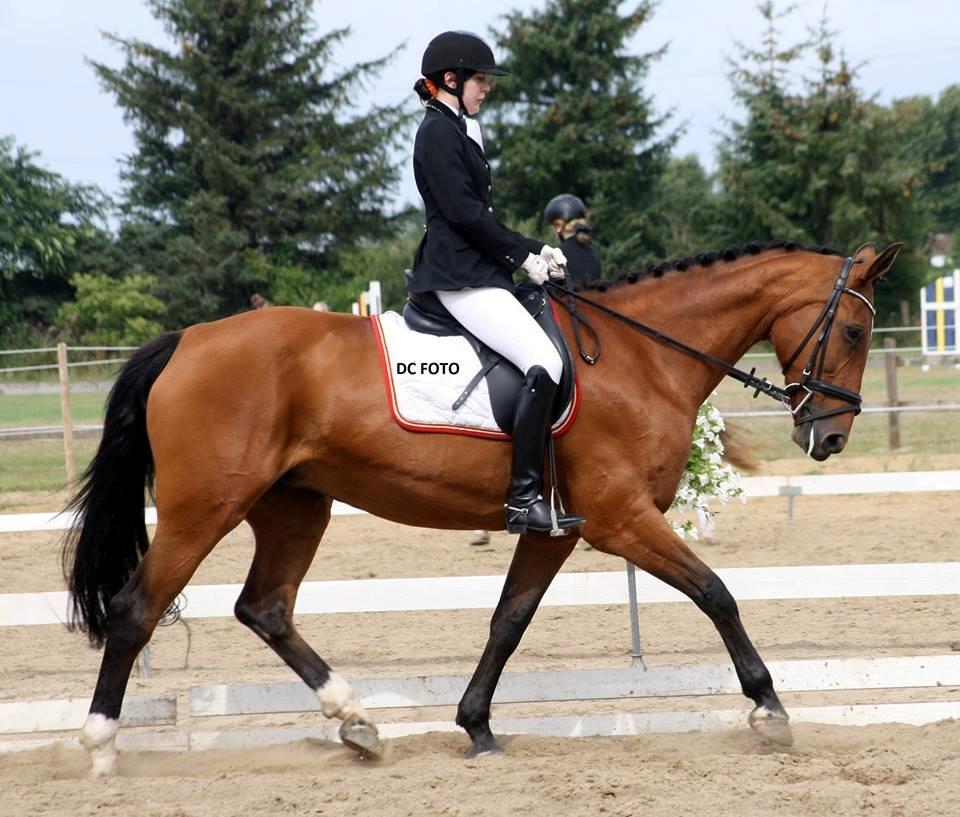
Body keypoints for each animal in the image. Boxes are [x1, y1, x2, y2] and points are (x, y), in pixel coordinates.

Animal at [62, 241, 900, 772]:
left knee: (265, 606)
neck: (643, 356)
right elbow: (715, 591)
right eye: (856, 328)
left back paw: (356, 720)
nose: (829, 437)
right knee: (137, 607)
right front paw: (769, 709)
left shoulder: (558, 528)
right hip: (204, 506)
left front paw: (477, 726)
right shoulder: (622, 517)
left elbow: (508, 619)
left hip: (294, 506)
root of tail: (185, 340)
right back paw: (101, 746)